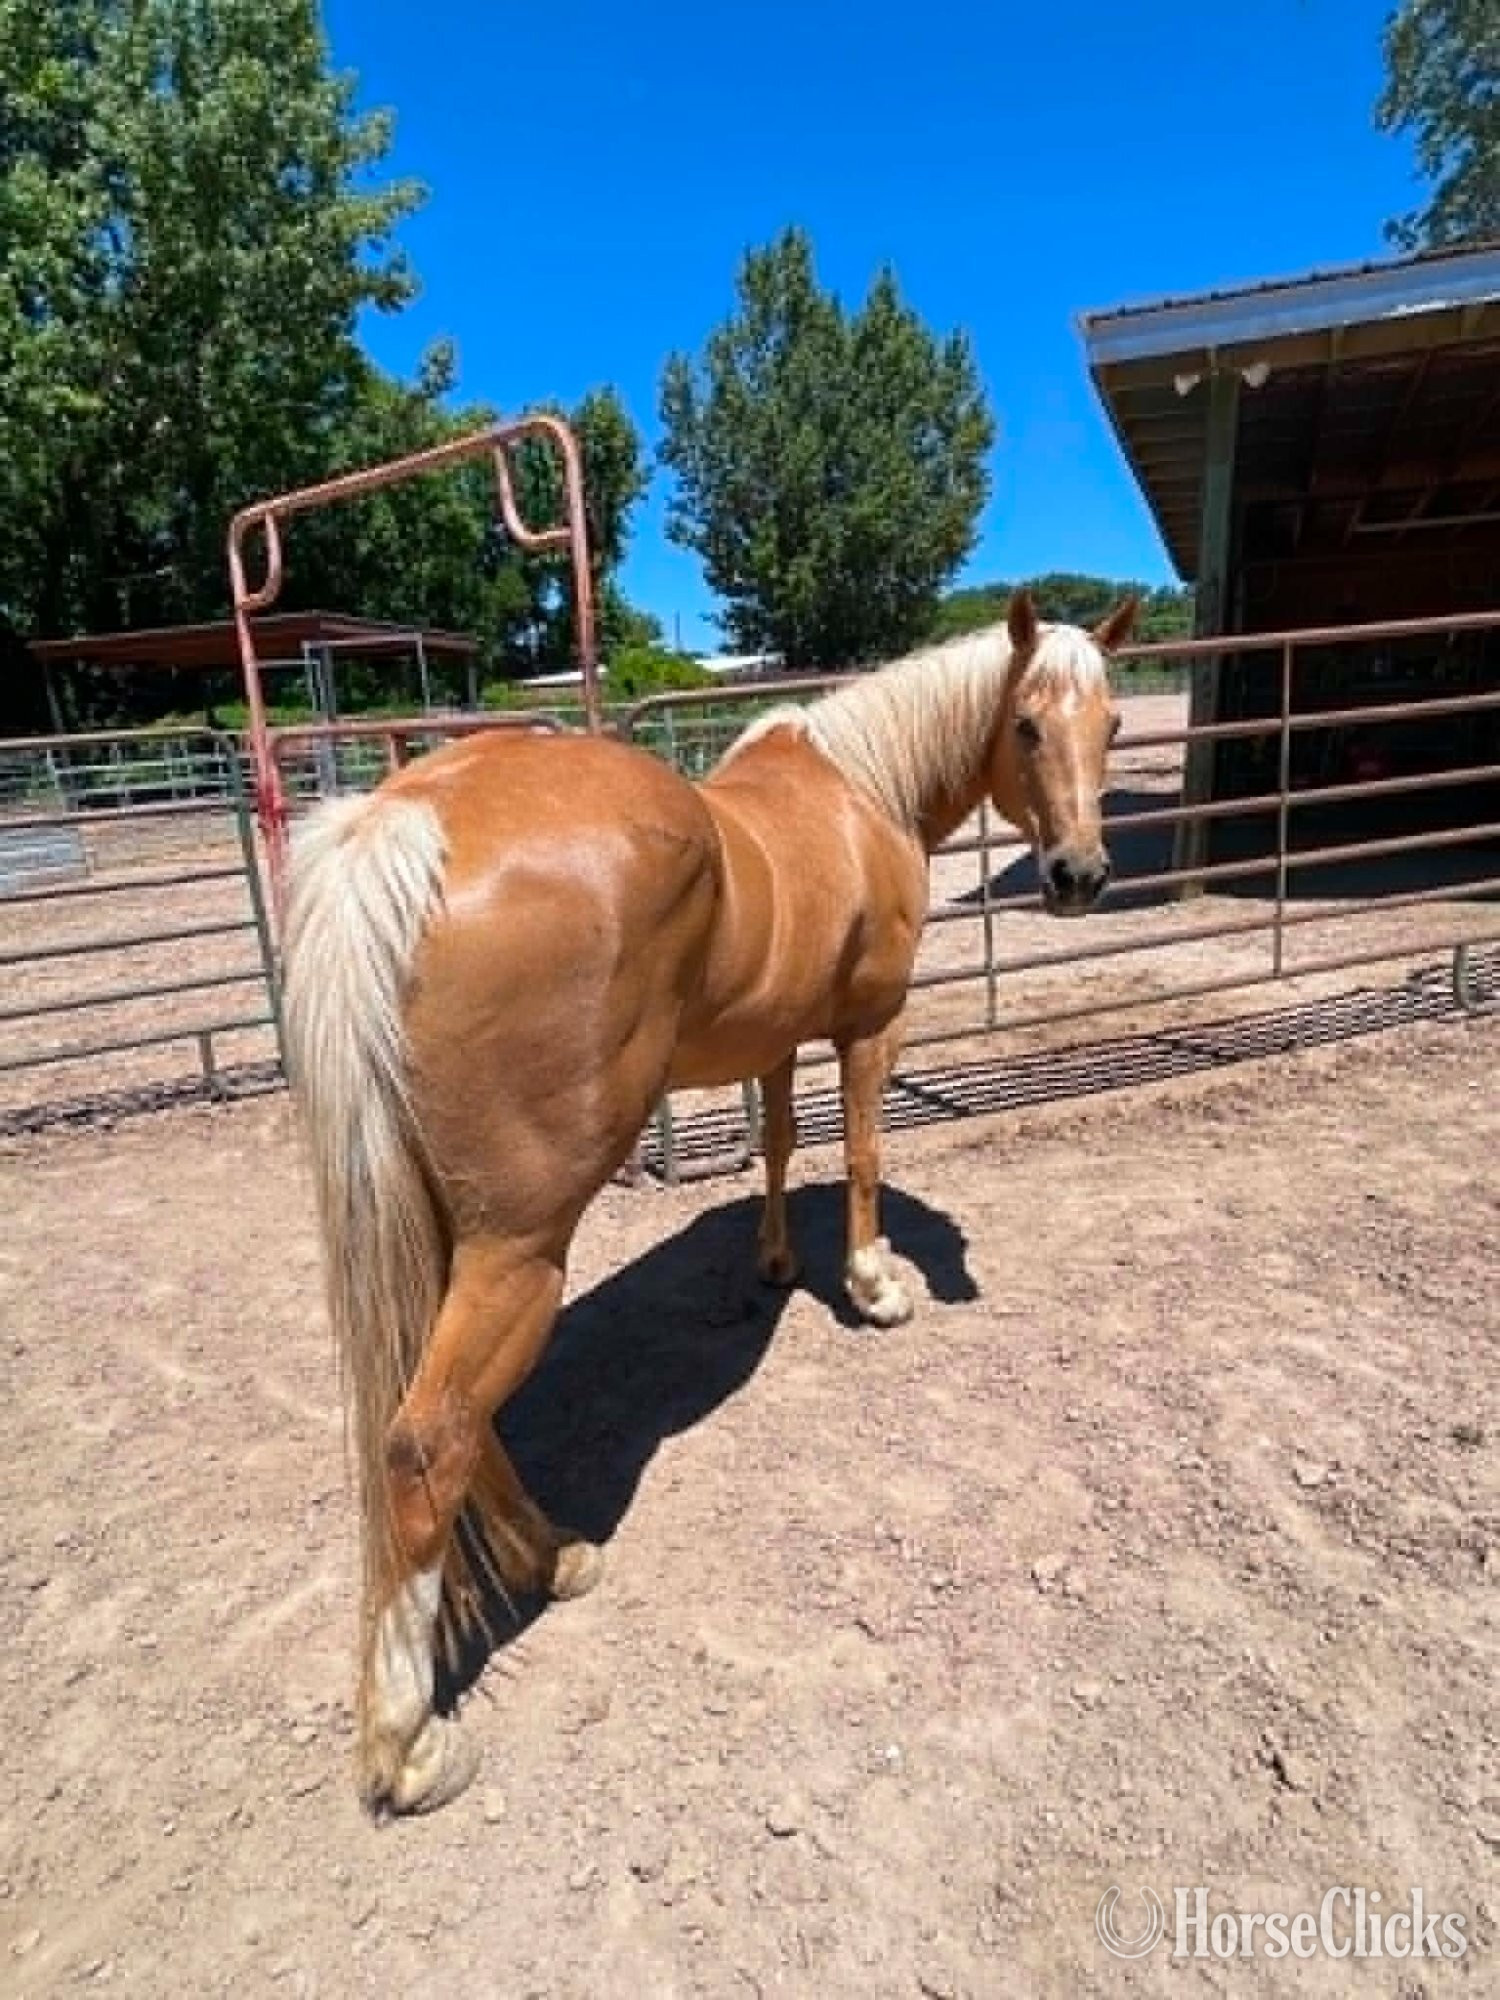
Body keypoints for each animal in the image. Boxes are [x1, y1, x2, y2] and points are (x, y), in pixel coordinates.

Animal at [281, 587, 1135, 1815]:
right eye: (1025, 724)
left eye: (1112, 725)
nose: (1078, 875)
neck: (860, 790)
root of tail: (406, 820)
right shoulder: (869, 1026)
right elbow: (863, 1153)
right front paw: (876, 1286)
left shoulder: (775, 1037)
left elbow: (777, 1143)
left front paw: (777, 1264)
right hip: (519, 1248)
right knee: (424, 1442)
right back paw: (410, 1742)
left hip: (447, 1235)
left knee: (453, 1419)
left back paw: (553, 1558)